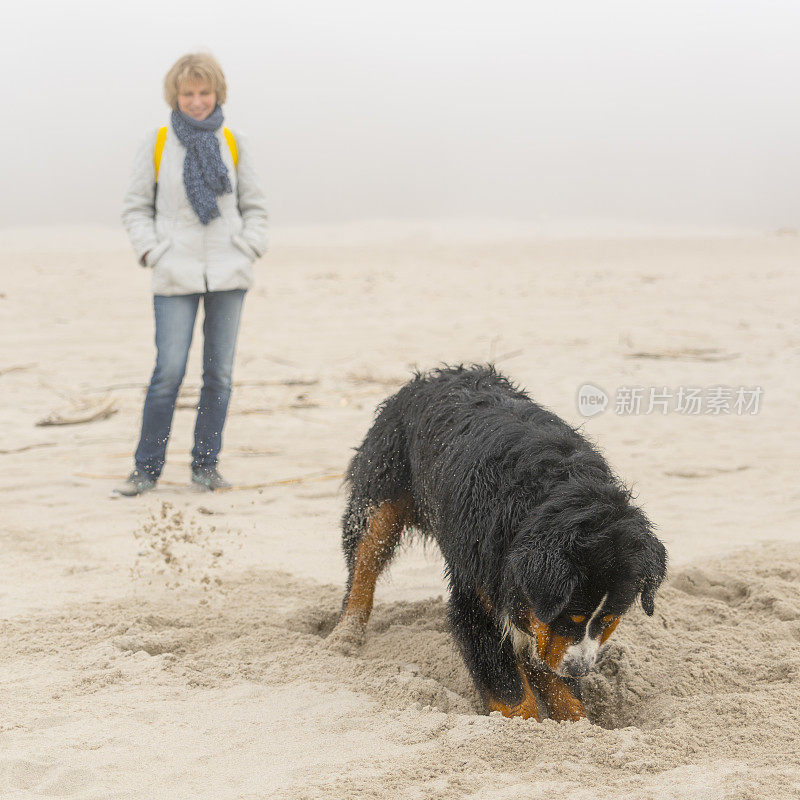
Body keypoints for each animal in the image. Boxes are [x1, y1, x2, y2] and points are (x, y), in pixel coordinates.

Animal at [328, 366, 664, 720]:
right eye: (570, 618)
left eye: (609, 621)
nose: (580, 670)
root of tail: (434, 376)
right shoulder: (479, 596)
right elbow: (509, 690)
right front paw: (525, 725)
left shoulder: (534, 612)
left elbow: (559, 686)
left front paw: (578, 725)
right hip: (379, 497)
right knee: (363, 568)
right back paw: (343, 639)